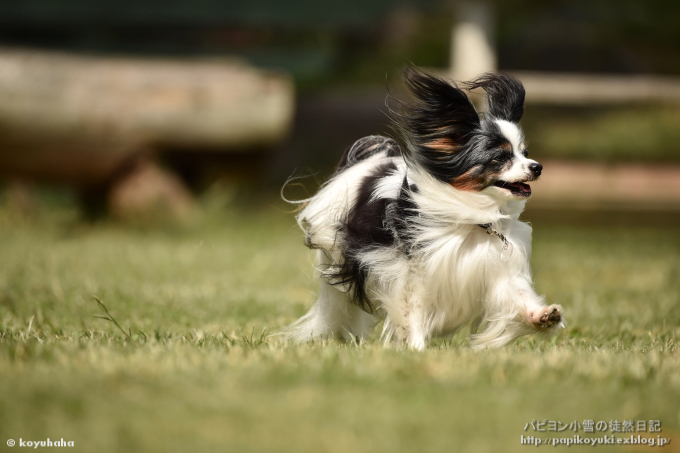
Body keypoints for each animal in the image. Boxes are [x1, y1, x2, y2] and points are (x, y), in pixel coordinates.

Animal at [282, 68, 564, 350]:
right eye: (501, 158)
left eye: (524, 153)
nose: (537, 167)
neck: (474, 218)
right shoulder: (413, 272)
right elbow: (412, 310)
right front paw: (416, 349)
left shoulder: (497, 268)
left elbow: (517, 295)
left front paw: (543, 316)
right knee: (339, 307)